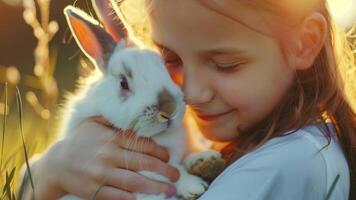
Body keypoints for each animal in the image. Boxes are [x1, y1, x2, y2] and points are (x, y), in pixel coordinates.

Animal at [58, 0, 221, 199]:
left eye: (164, 66)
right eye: (123, 83)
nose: (169, 110)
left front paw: (205, 158)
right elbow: (171, 173)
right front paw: (194, 186)